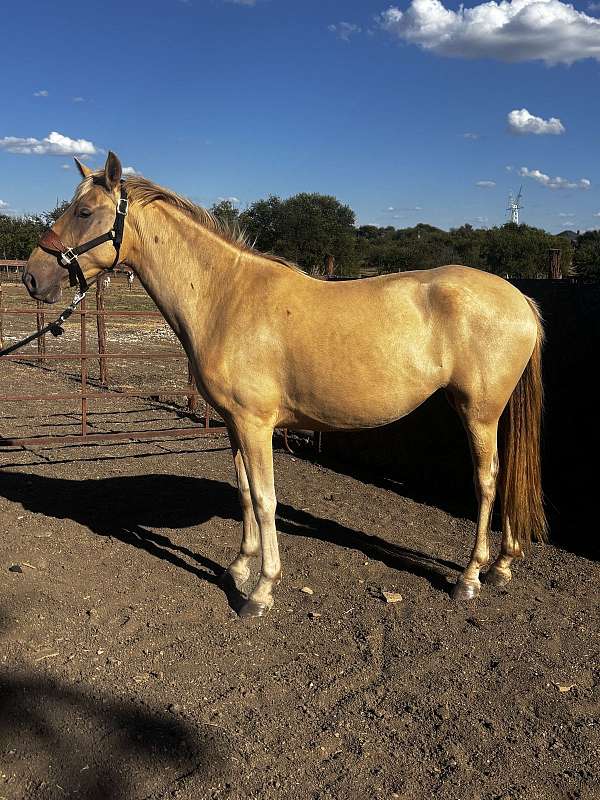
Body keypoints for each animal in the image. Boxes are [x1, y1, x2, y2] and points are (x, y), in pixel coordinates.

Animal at [22, 152, 546, 618]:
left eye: (84, 212)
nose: (31, 276)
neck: (225, 297)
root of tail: (518, 297)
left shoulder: (257, 426)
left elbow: (265, 498)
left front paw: (260, 591)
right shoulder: (235, 425)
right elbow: (243, 492)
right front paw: (238, 567)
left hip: (478, 412)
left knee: (486, 479)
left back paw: (470, 577)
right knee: (504, 478)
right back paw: (502, 565)